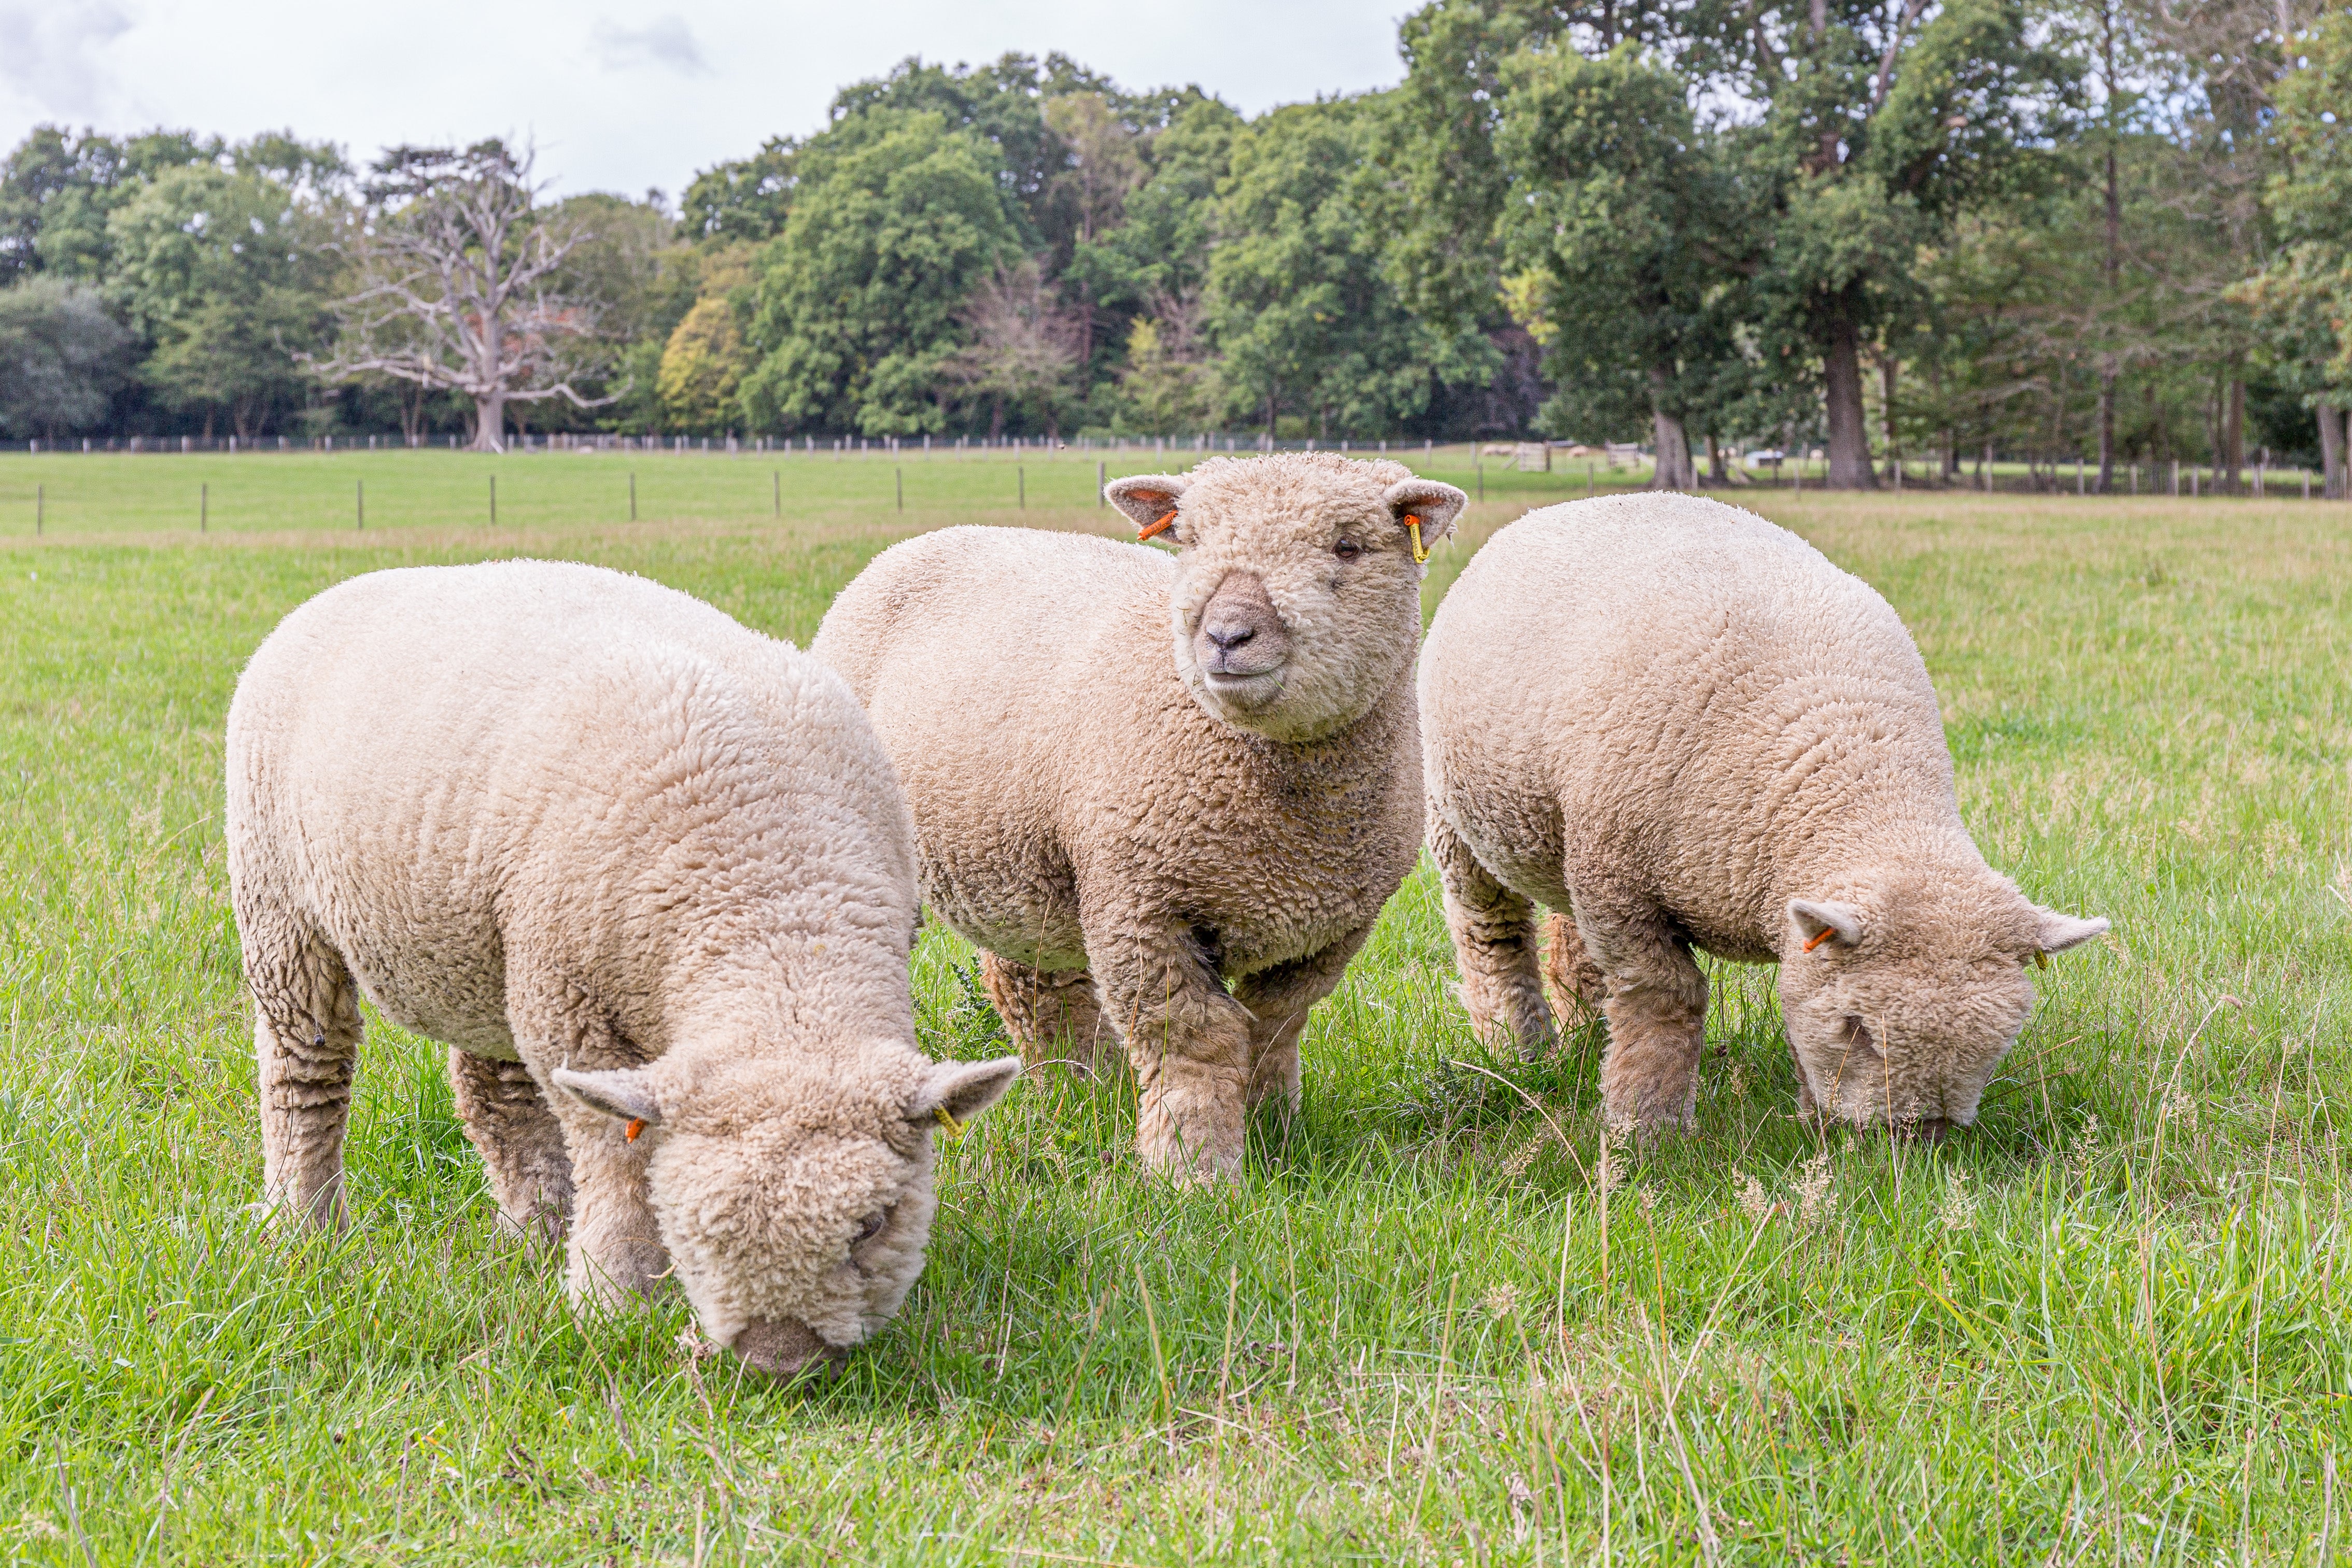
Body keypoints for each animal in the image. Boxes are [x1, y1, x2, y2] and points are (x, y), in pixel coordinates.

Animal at [225, 560, 1019, 1377]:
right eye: (692, 1227)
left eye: (873, 1224)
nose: (778, 1361)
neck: (776, 909)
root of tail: (362, 581)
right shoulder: (574, 1007)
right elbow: (616, 1157)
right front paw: (614, 1296)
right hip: (280, 902)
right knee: (303, 1072)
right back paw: (301, 1223)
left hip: (485, 944)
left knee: (496, 1095)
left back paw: (534, 1229)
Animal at [811, 454, 1468, 1178]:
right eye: (1191, 540)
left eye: (1347, 547)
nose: (1226, 636)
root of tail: (923, 539)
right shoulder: (1143, 906)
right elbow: (1195, 1040)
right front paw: (1190, 1166)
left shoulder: (1330, 929)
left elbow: (1275, 1026)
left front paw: (1274, 1129)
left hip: (1026, 859)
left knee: (1031, 983)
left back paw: (1081, 1089)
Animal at [1420, 494, 2107, 1135]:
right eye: (1857, 1027)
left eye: (2002, 1040)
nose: (1915, 1146)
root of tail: (1565, 505)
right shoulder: (1621, 886)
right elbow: (1665, 998)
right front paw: (1645, 1124)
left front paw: (1806, 1116)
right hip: (1456, 814)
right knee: (1490, 931)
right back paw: (1519, 1046)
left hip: (1566, 834)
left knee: (1566, 932)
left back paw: (1585, 1029)